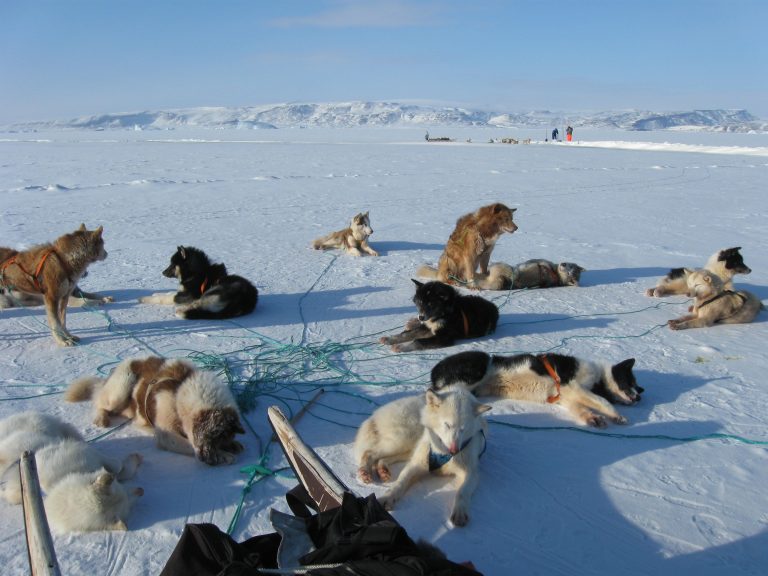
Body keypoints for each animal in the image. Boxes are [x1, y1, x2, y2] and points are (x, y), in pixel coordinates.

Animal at [0, 412, 143, 532]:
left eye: (123, 492)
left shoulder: (92, 455)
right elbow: (119, 469)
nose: (141, 490)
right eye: (128, 503)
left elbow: (118, 466)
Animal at [67, 358, 246, 466]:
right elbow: (187, 443)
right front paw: (223, 455)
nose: (207, 459)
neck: (180, 389)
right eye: (214, 436)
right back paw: (101, 418)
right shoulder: (167, 436)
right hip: (120, 389)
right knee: (100, 403)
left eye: (222, 438)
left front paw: (231, 446)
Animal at [356, 388, 492, 528]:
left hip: (407, 446)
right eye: (447, 424)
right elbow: (400, 482)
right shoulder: (417, 464)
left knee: (382, 458)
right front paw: (388, 497)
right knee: (369, 452)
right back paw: (365, 471)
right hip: (403, 440)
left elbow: (462, 492)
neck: (442, 452)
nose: (454, 450)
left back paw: (382, 469)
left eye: (463, 429)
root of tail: (377, 413)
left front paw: (460, 511)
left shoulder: (471, 473)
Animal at [432, 352, 640, 428]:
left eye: (639, 388)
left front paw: (592, 418)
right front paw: (618, 416)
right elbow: (602, 401)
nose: (639, 397)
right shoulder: (571, 384)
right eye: (631, 381)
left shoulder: (568, 396)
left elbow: (582, 409)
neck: (599, 377)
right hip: (472, 372)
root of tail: (436, 369)